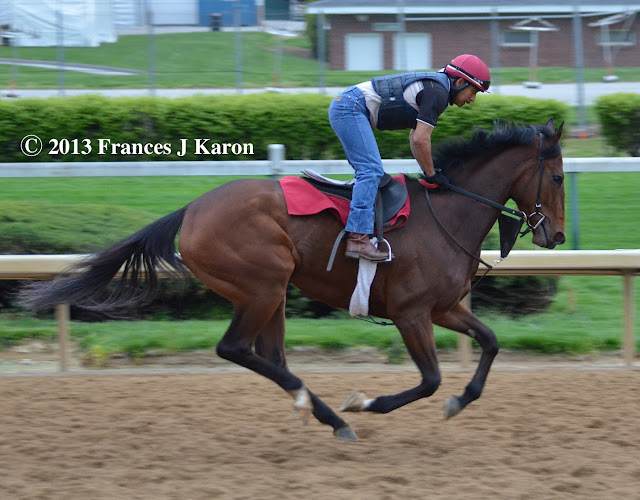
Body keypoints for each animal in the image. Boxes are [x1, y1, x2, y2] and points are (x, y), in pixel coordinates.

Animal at [20, 119, 566, 442]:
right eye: (558, 177)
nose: (556, 234)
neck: (447, 213)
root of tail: (192, 209)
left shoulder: (444, 307)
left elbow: (490, 342)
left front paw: (460, 401)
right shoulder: (411, 314)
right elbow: (429, 380)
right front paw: (367, 403)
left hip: (270, 291)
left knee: (270, 355)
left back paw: (326, 415)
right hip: (263, 283)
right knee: (236, 349)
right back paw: (325, 410)